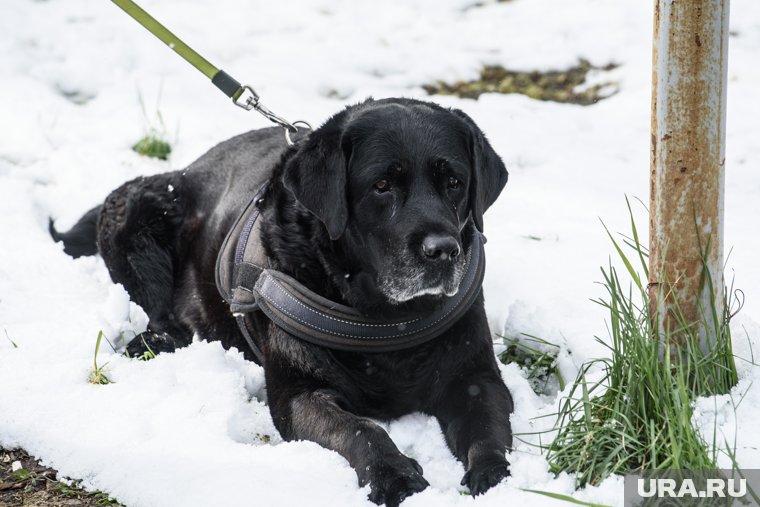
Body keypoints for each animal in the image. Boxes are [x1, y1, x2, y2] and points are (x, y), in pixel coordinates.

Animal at [53, 98, 512, 504]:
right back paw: (153, 342)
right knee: (159, 312)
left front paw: (494, 477)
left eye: (454, 182)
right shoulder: (297, 394)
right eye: (382, 186)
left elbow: (487, 425)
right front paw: (394, 474)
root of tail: (186, 168)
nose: (443, 250)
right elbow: (361, 429)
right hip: (133, 208)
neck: (386, 318)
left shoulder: (475, 376)